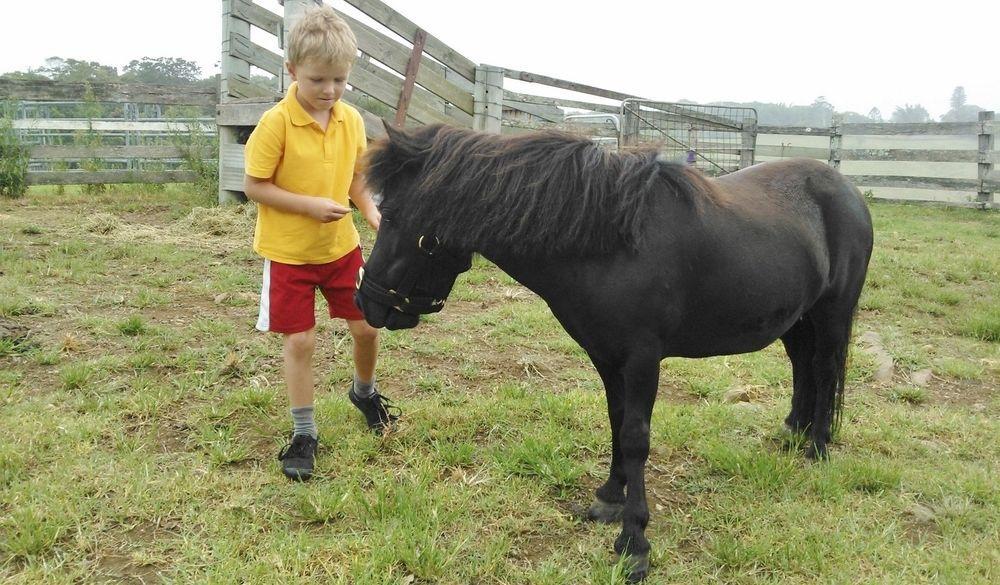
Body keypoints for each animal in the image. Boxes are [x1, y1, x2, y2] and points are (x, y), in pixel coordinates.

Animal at [356, 123, 872, 580]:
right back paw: (794, 432)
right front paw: (609, 496)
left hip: (831, 313)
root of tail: (847, 189)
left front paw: (634, 542)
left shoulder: (643, 360)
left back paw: (817, 445)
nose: (367, 303)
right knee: (802, 367)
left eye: (395, 215)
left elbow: (636, 437)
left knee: (824, 369)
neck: (610, 243)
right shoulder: (607, 358)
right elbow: (615, 423)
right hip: (797, 318)